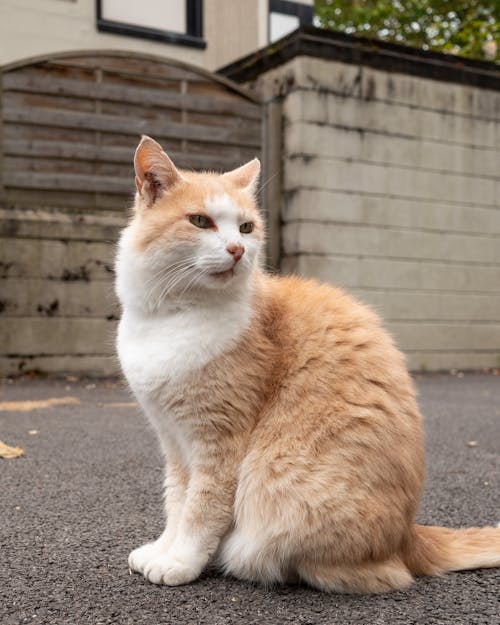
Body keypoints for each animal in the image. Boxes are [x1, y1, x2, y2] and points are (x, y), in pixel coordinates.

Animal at [114, 136, 500, 596]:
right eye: (200, 221)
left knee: (369, 573)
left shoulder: (219, 442)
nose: (237, 250)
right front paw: (162, 549)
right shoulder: (173, 441)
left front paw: (180, 561)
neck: (170, 316)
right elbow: (176, 501)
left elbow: (200, 509)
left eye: (246, 228)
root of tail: (408, 535)